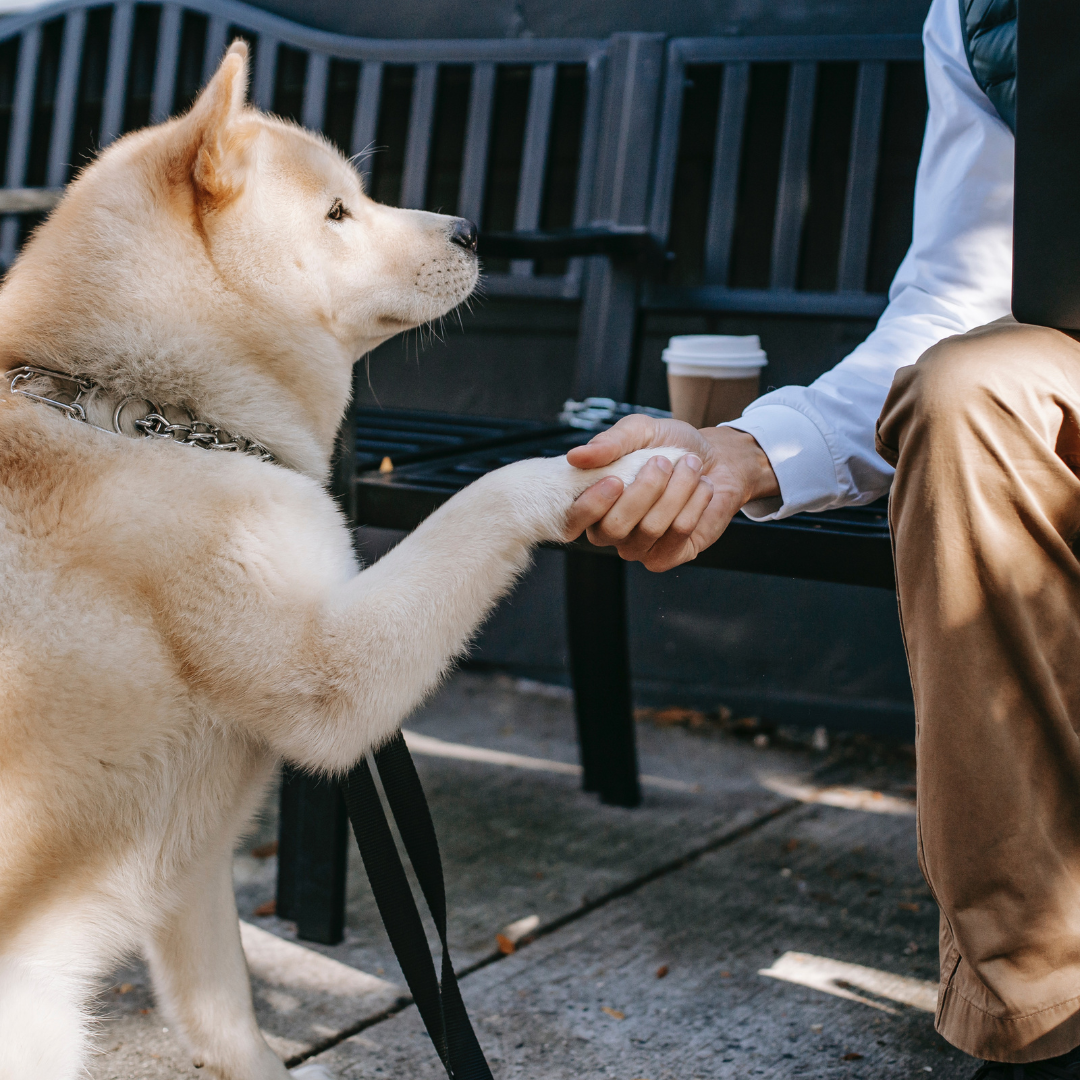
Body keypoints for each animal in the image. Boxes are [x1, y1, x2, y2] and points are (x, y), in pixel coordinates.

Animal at [0, 38, 678, 1080]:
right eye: (335, 212)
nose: (472, 228)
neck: (144, 415)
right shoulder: (333, 680)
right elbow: (489, 497)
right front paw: (627, 463)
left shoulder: (191, 877)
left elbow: (229, 1021)